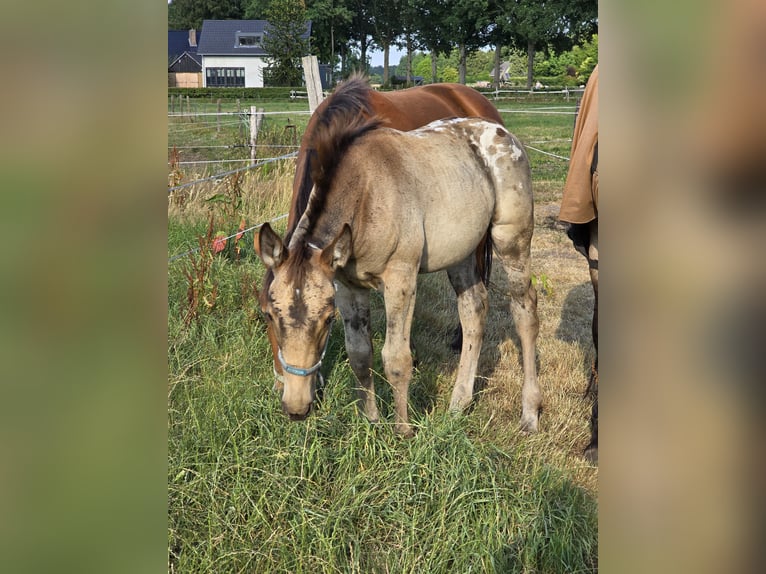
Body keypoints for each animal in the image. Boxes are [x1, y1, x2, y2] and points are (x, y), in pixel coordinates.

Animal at [256, 91, 540, 437]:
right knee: (474, 309)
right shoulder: (348, 286)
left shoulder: (401, 279)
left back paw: (529, 414)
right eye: (269, 316)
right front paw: (371, 421)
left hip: (512, 241)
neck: (366, 194)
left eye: (326, 319)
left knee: (525, 311)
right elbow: (360, 354)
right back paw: (458, 406)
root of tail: (502, 131)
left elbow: (396, 359)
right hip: (461, 254)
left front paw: (403, 431)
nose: (296, 408)